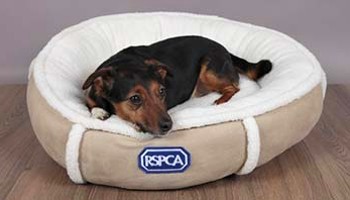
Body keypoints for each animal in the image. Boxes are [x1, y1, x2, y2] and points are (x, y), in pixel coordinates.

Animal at [82, 35, 274, 136]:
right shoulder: (91, 93)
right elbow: (91, 103)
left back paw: (220, 101)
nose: (168, 126)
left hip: (209, 70)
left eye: (162, 91)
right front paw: (99, 111)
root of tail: (226, 51)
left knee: (234, 87)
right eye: (135, 98)